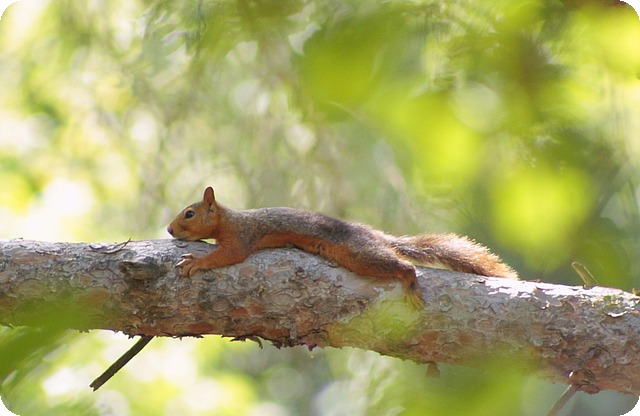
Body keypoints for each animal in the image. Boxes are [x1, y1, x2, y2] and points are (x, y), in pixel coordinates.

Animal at [167, 186, 517, 308]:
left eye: (189, 214)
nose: (169, 229)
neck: (227, 219)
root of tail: (375, 236)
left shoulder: (242, 237)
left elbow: (228, 255)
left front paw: (196, 263)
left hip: (360, 254)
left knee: (401, 265)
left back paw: (409, 279)